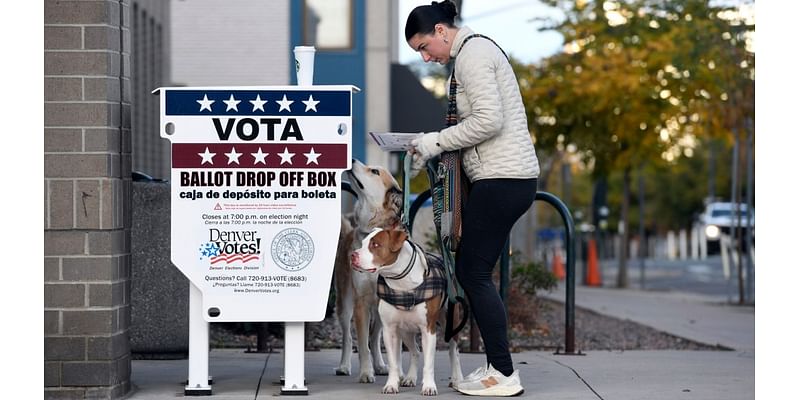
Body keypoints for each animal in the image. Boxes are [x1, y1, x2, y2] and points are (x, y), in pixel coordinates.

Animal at [332, 158, 404, 382]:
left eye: (374, 171)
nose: (353, 159)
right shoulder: (361, 303)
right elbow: (362, 345)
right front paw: (365, 372)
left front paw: (399, 374)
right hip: (344, 303)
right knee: (348, 338)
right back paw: (344, 366)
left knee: (375, 337)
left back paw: (380, 365)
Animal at [350, 227, 462, 396]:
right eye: (363, 243)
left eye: (375, 244)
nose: (352, 255)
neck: (401, 283)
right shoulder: (390, 330)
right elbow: (393, 362)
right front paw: (391, 385)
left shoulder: (428, 330)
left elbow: (429, 363)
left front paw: (429, 387)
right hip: (405, 331)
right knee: (415, 351)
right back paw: (410, 378)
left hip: (451, 322)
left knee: (453, 351)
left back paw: (457, 379)